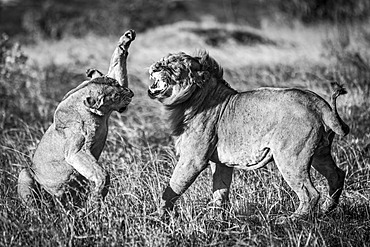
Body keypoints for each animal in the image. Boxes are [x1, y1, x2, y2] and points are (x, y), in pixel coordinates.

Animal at [17, 29, 136, 205]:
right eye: (115, 96)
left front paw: (125, 39)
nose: (131, 93)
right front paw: (96, 199)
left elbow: (117, 63)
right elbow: (101, 173)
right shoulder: (75, 151)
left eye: (118, 85)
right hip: (25, 172)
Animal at [148, 50, 350, 222]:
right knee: (337, 175)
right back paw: (326, 210)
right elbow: (220, 191)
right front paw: (216, 219)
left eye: (173, 67)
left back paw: (291, 220)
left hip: (290, 157)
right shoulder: (221, 163)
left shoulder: (193, 160)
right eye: (161, 61)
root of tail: (317, 102)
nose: (155, 67)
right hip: (320, 153)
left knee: (310, 192)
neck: (189, 102)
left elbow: (173, 187)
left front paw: (159, 217)